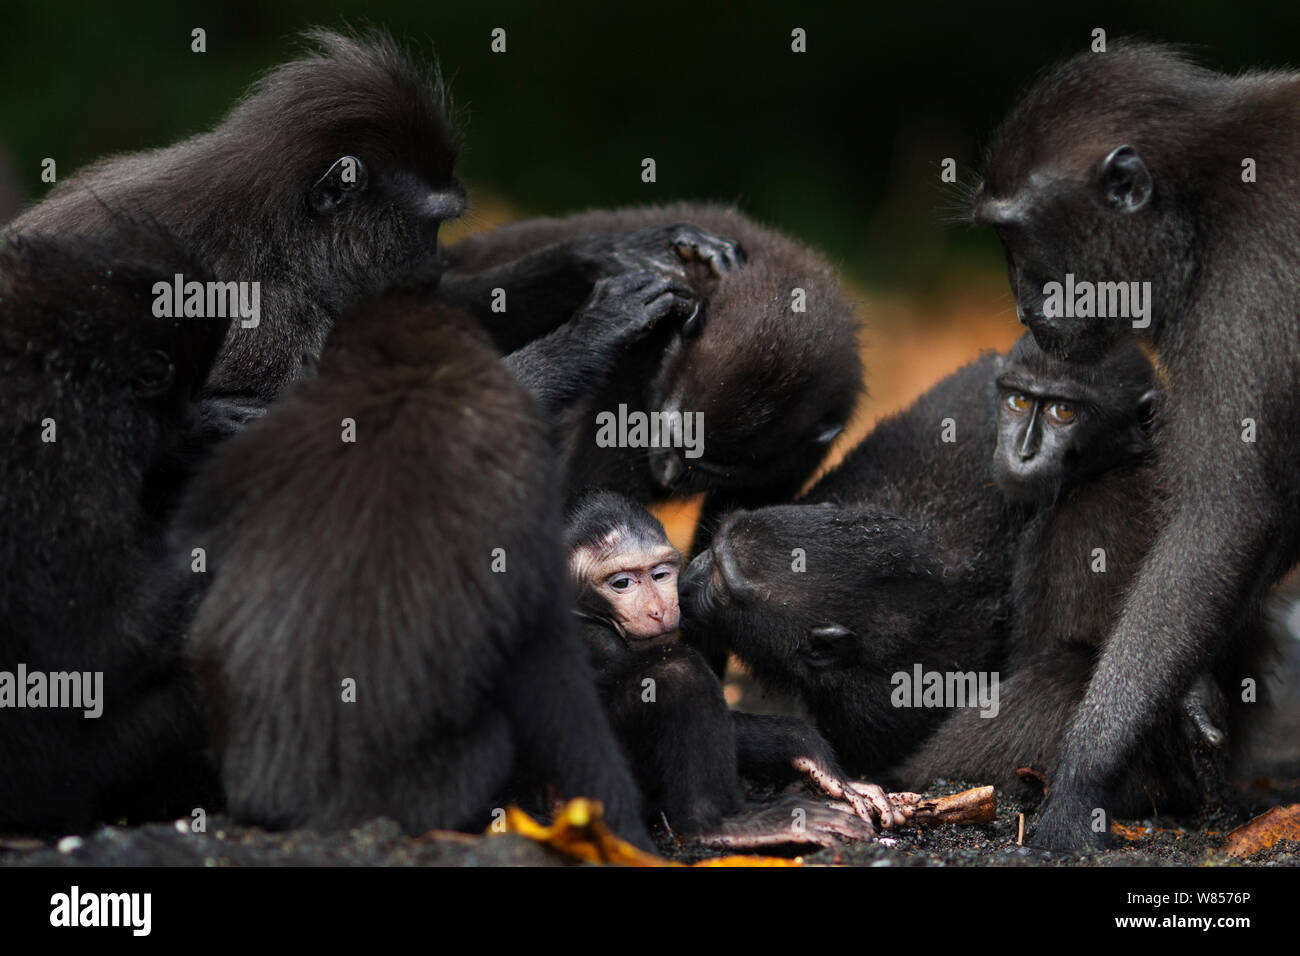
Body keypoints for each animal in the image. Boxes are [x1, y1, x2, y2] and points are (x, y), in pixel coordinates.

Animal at [564, 489, 909, 848]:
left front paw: (808, 750)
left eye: (659, 575)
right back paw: (722, 824)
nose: (657, 609)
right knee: (680, 671)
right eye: (621, 583)